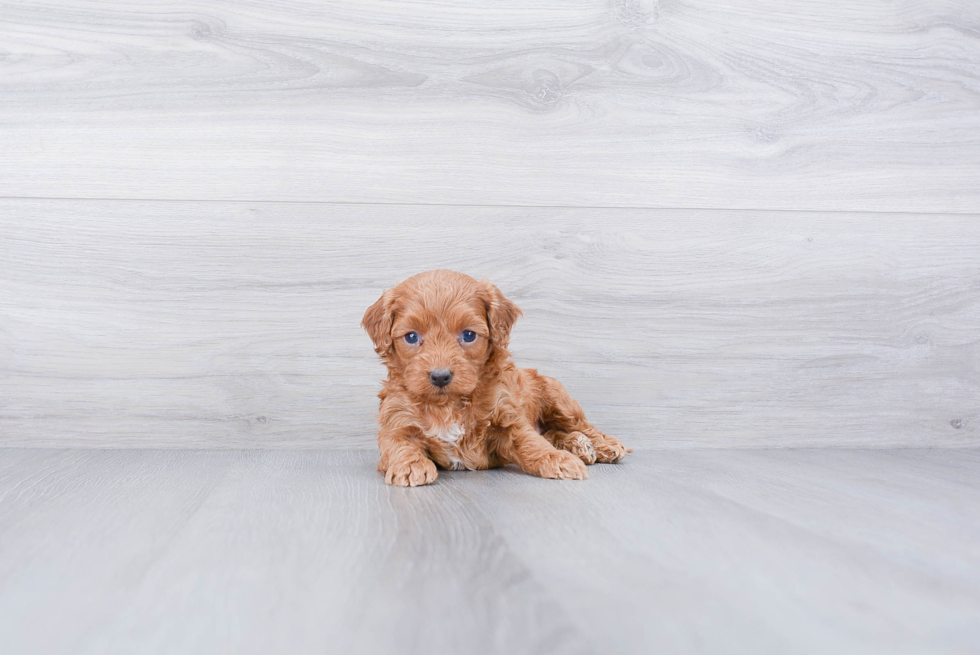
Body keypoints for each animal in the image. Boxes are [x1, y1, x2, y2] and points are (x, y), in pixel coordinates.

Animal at [360, 268, 628, 486]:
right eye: (412, 337)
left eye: (468, 335)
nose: (440, 376)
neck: (447, 405)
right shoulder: (397, 420)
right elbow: (399, 444)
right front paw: (410, 466)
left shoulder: (508, 419)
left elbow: (531, 442)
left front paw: (558, 460)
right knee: (553, 434)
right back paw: (578, 446)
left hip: (557, 398)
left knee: (579, 426)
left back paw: (601, 445)